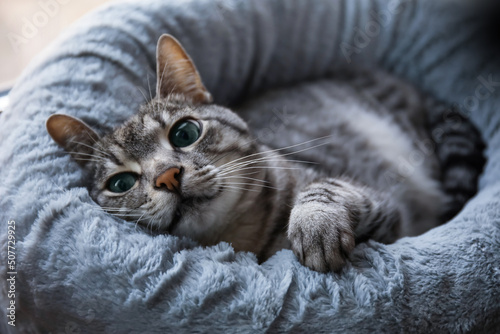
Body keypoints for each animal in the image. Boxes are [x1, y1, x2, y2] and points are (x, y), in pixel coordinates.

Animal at [47, 34, 484, 272]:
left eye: (185, 133)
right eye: (121, 182)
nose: (167, 176)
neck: (241, 239)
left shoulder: (386, 213)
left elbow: (325, 188)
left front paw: (314, 224)